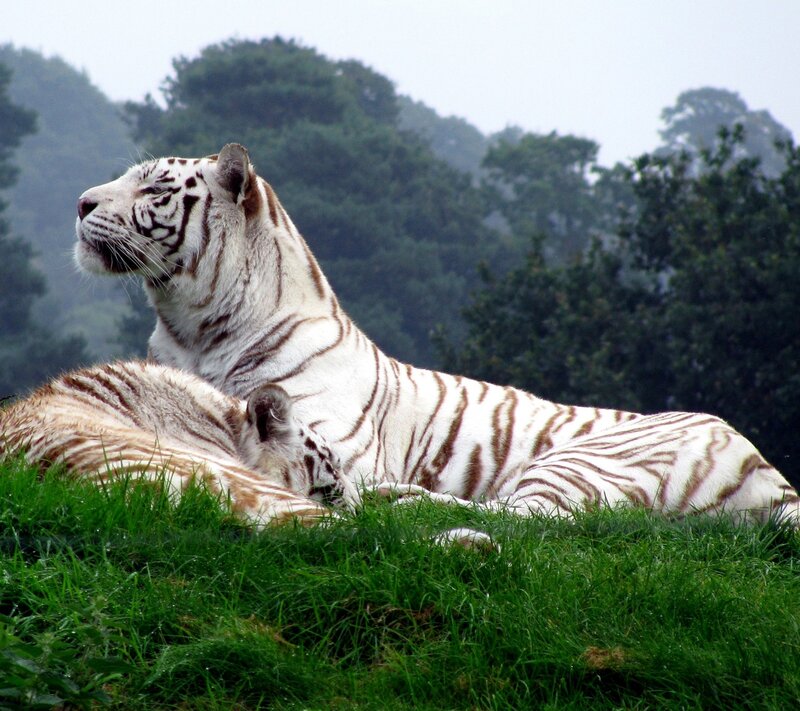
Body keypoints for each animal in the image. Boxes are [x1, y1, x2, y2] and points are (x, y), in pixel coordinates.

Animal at [73, 143, 800, 525]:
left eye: (156, 188)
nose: (80, 202)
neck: (191, 327)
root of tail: (772, 473)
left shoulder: (332, 440)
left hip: (586, 458)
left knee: (532, 518)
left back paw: (406, 500)